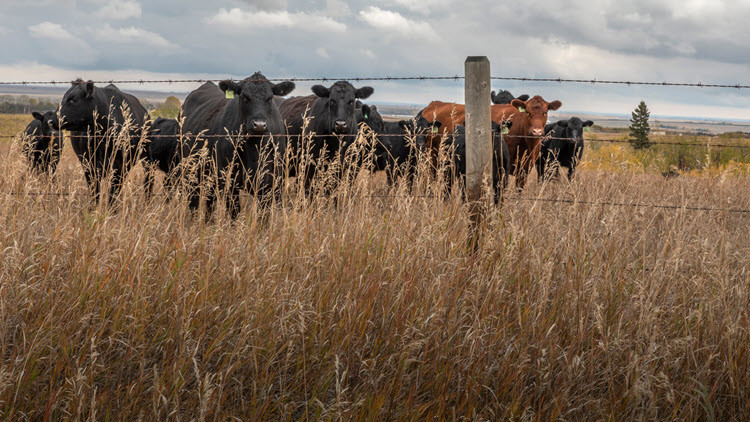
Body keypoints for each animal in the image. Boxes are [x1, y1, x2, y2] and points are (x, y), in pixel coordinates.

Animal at [179, 72, 295, 219]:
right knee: (194, 200)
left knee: (209, 202)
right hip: (191, 170)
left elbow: (264, 216)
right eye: (245, 97)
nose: (259, 124)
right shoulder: (230, 183)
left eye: (270, 98)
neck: (254, 149)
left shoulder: (272, 184)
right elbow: (235, 213)